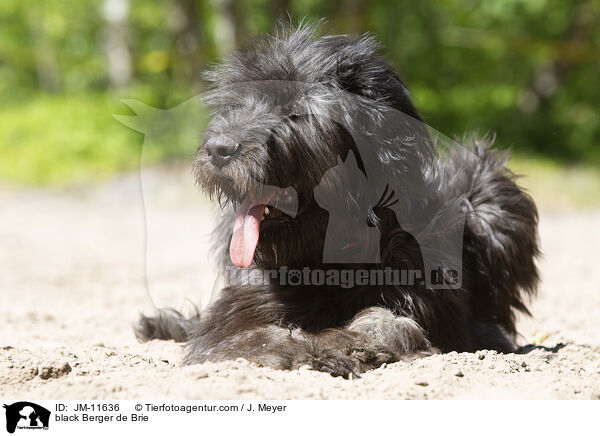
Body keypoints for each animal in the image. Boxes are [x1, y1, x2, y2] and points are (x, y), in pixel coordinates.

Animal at [136, 23, 540, 378]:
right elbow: (247, 335)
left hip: (488, 188)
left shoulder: (422, 296)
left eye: (295, 110)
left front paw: (346, 346)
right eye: (234, 106)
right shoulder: (240, 309)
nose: (218, 150)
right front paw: (305, 349)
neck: (325, 254)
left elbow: (389, 323)